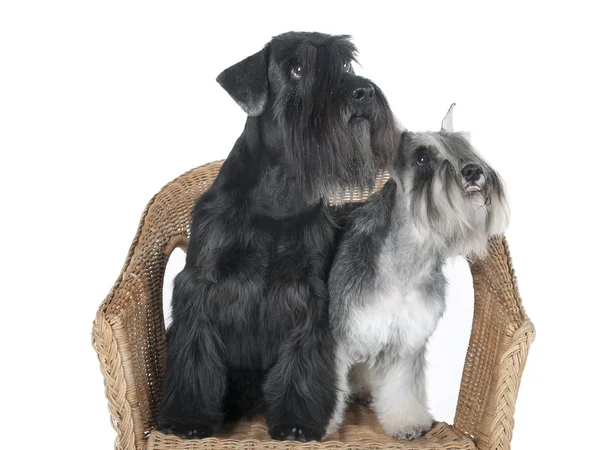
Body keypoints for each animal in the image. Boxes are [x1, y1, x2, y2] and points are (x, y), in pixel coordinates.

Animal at [156, 31, 398, 442]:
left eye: (345, 63)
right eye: (297, 69)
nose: (363, 92)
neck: (277, 194)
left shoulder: (308, 293)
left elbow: (301, 359)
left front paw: (297, 423)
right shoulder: (200, 285)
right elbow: (195, 352)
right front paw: (187, 419)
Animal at [326, 104, 508, 440]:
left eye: (464, 148)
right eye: (423, 158)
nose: (472, 171)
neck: (406, 262)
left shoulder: (406, 342)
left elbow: (403, 389)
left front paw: (407, 424)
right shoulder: (338, 338)